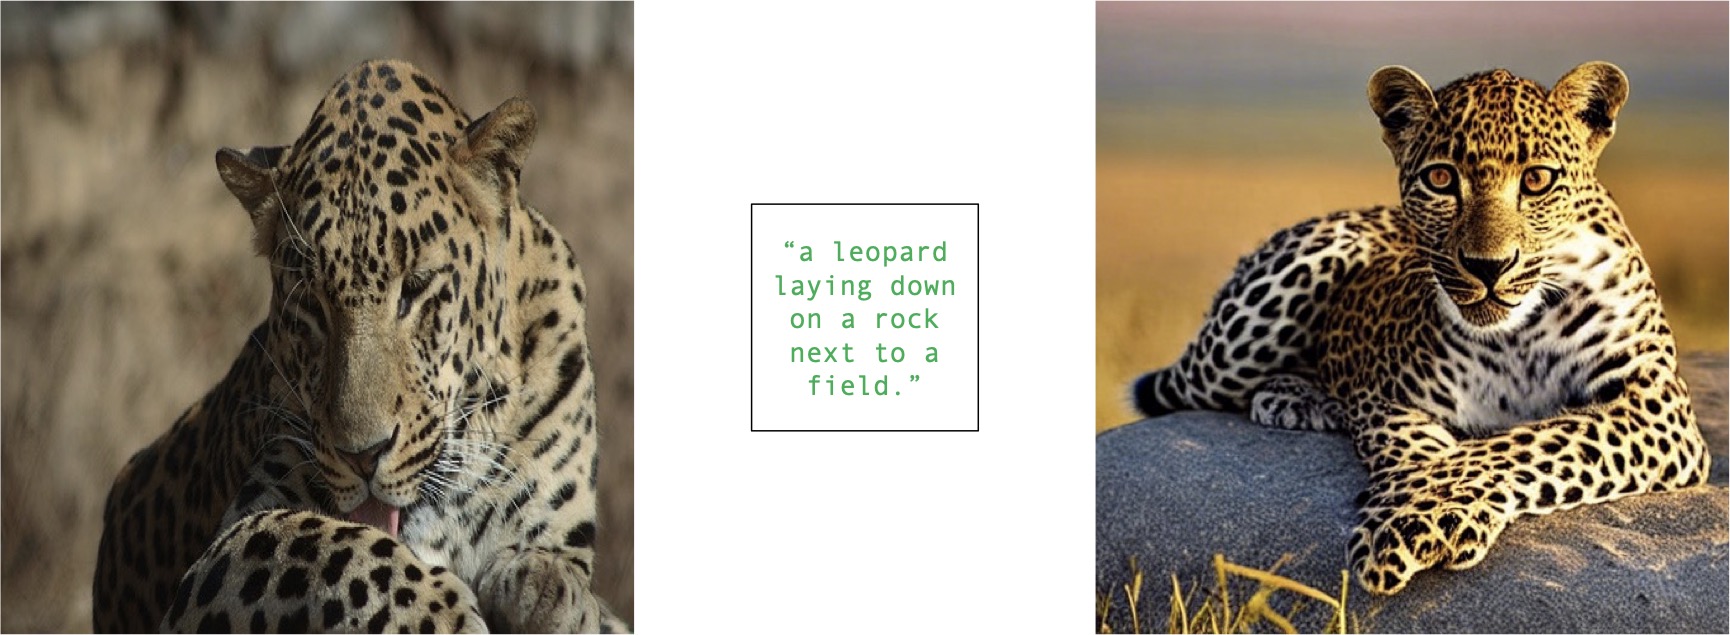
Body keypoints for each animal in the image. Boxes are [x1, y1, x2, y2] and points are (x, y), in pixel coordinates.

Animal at [93, 59, 628, 632]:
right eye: (311, 304)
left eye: (415, 288)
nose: (364, 457)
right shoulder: (224, 551)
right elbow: (330, 544)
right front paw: (442, 611)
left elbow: (560, 572)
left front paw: (547, 593)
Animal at [1129, 61, 1711, 595]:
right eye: (1440, 179)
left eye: (1537, 180)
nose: (1487, 266)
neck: (1517, 335)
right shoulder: (1383, 389)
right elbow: (1423, 447)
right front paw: (1411, 506)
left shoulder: (1653, 405)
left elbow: (1531, 442)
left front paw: (1413, 515)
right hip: (1263, 314)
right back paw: (1298, 398)